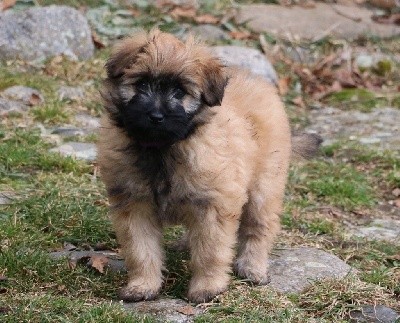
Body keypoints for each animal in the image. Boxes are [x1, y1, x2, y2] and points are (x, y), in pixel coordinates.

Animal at [97, 29, 294, 306]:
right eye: (142, 84)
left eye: (180, 92)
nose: (156, 116)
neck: (162, 150)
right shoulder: (134, 205)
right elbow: (141, 250)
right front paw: (142, 286)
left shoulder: (213, 207)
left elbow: (210, 252)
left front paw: (207, 288)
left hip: (264, 188)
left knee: (259, 228)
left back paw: (252, 267)